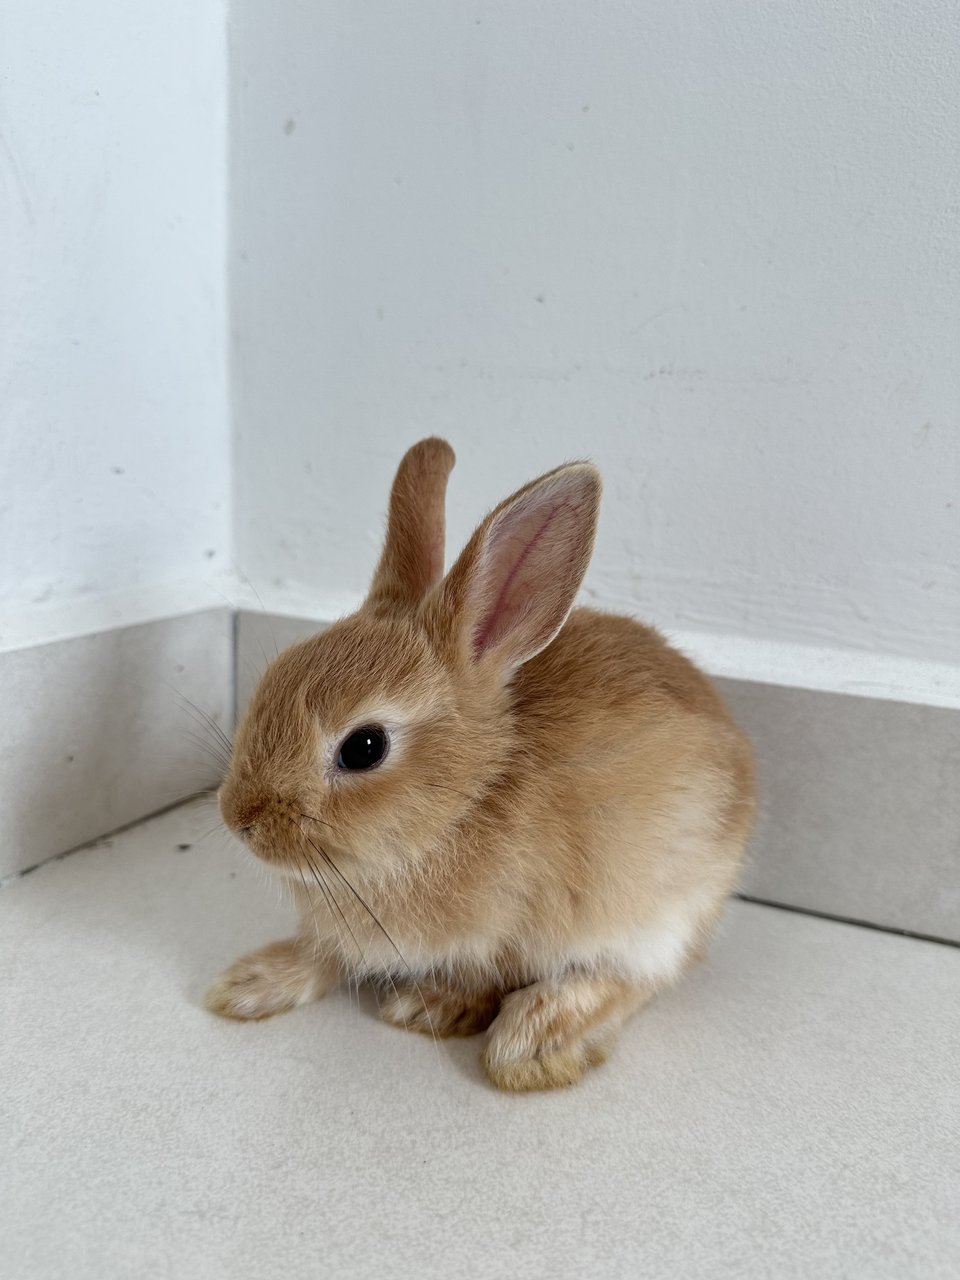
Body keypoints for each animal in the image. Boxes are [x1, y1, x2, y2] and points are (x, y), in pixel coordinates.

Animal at [207, 440, 757, 1090]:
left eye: (364, 748)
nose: (239, 819)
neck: (468, 799)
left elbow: (490, 975)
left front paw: (431, 1006)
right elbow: (327, 954)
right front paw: (251, 983)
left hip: (665, 905)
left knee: (637, 978)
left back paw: (533, 1040)